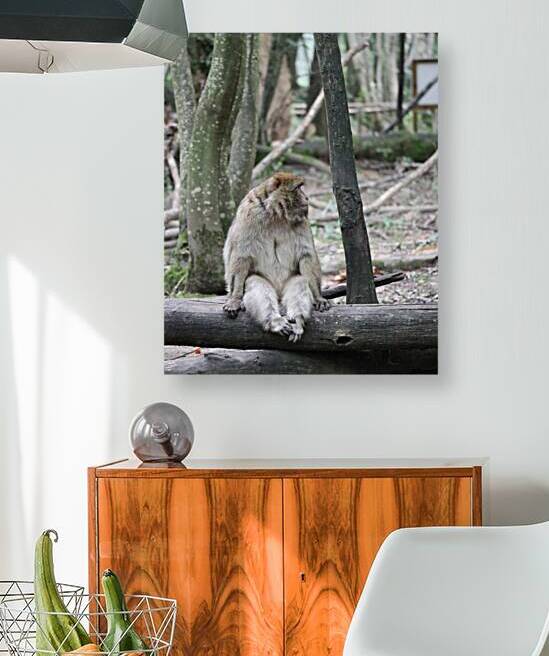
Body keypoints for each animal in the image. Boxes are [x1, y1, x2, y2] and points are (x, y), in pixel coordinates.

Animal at [223, 172, 330, 342]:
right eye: (298, 188)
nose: (307, 198)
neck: (276, 214)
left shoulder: (302, 221)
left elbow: (306, 256)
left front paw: (318, 298)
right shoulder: (249, 214)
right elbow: (241, 257)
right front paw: (234, 299)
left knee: (300, 281)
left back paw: (296, 321)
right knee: (255, 282)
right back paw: (274, 321)